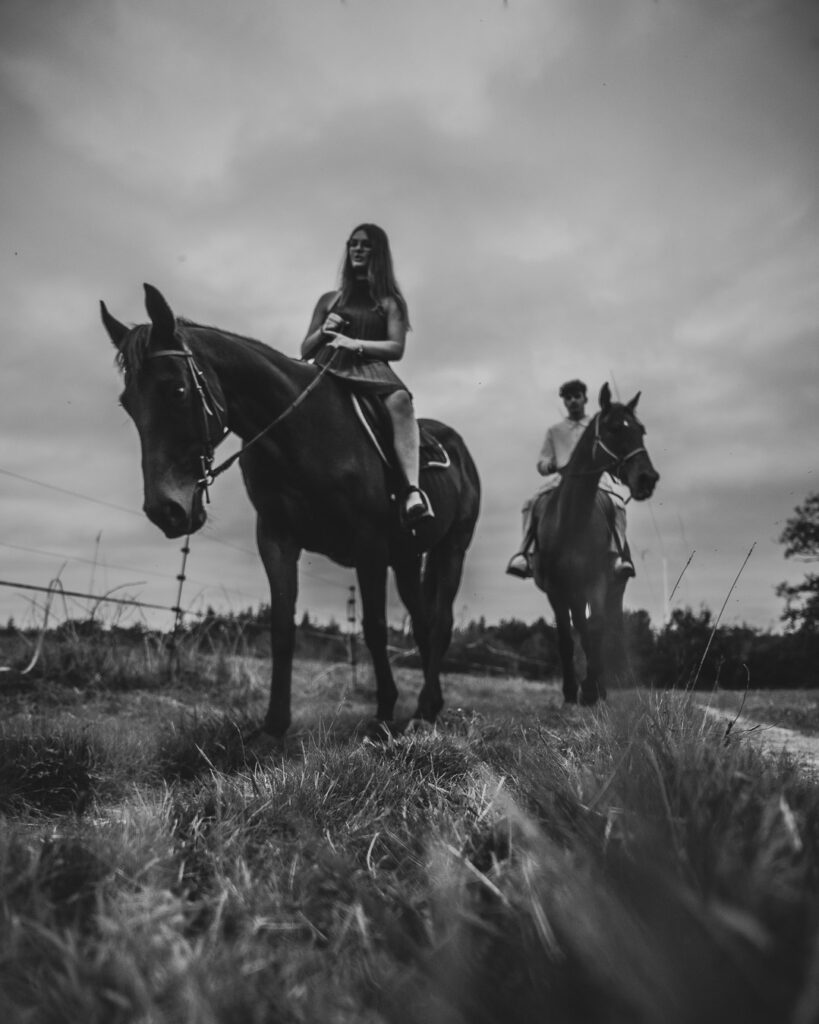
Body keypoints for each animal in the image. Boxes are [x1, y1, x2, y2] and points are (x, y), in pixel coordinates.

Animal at [101, 284, 479, 741]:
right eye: (127, 404)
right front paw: (273, 726)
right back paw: (429, 705)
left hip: (451, 549)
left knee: (440, 624)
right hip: (407, 558)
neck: (301, 433)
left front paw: (383, 713)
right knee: (423, 624)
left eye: (177, 390)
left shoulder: (368, 544)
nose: (165, 510)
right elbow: (282, 629)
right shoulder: (277, 539)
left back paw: (423, 708)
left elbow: (373, 629)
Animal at [532, 382, 659, 704]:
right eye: (614, 428)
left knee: (605, 629)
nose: (648, 478)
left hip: (611, 586)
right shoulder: (556, 590)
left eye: (641, 430)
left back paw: (599, 686)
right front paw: (570, 691)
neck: (571, 522)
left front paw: (591, 688)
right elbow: (567, 638)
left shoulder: (597, 580)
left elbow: (597, 628)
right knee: (580, 628)